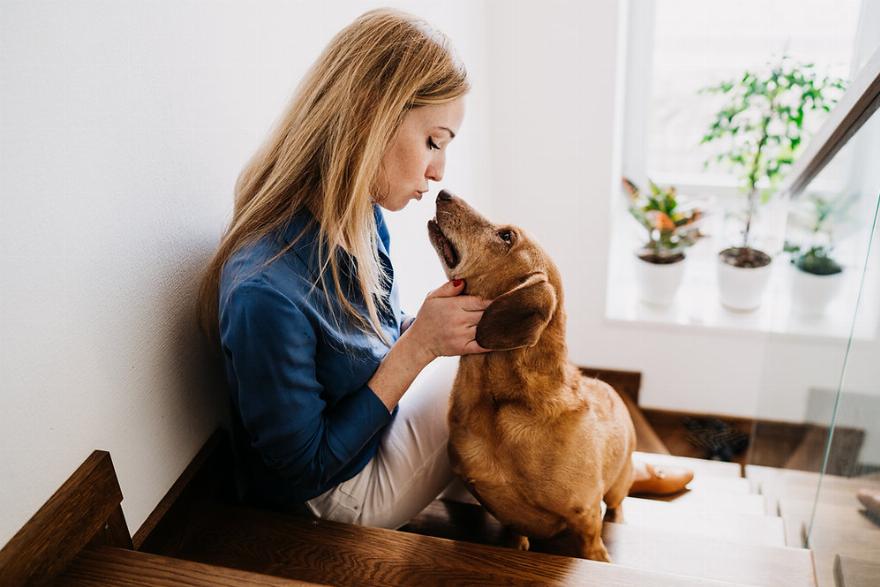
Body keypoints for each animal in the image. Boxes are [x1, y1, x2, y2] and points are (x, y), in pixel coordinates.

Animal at [427, 190, 636, 562]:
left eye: (506, 236)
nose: (442, 192)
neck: (499, 409)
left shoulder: (587, 521)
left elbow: (594, 547)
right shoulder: (511, 518)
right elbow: (516, 534)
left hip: (617, 487)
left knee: (617, 505)